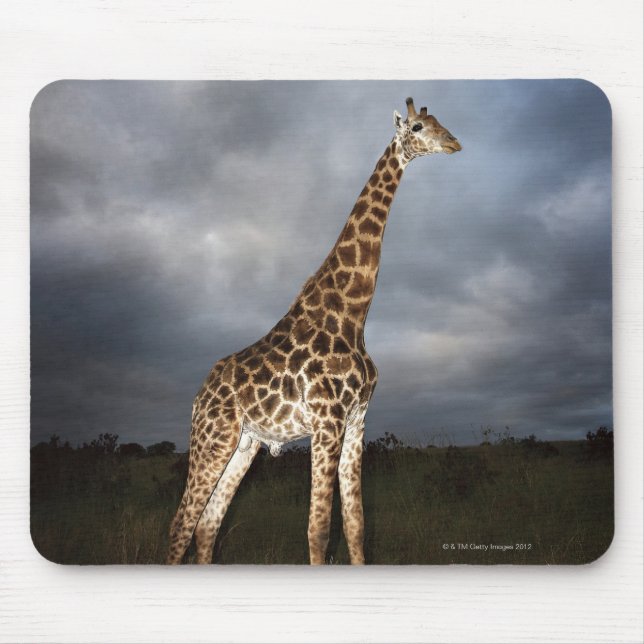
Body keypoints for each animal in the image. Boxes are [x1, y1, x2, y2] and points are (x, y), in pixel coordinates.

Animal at [167, 97, 461, 565]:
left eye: (438, 122)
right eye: (417, 127)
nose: (454, 142)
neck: (353, 312)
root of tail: (200, 395)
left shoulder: (357, 420)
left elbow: (357, 526)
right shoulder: (327, 420)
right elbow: (319, 531)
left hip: (244, 444)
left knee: (207, 526)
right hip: (212, 437)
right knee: (181, 525)